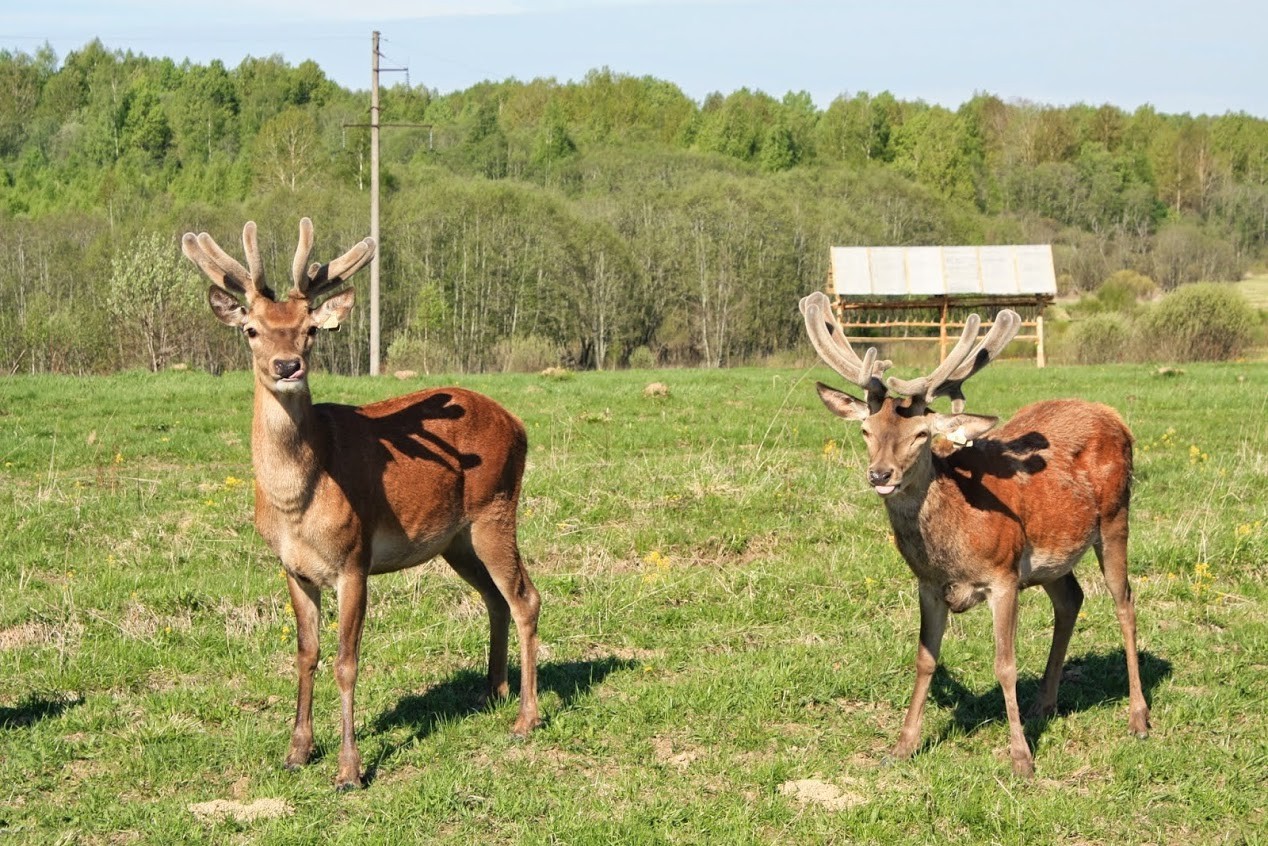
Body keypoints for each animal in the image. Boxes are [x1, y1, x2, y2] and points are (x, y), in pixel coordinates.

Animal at [182, 221, 540, 791]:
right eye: (252, 330)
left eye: (309, 329)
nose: (287, 366)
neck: (297, 503)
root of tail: (520, 424)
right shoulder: (293, 568)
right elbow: (306, 654)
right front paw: (297, 751)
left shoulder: (354, 559)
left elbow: (346, 661)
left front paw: (349, 769)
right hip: (455, 539)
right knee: (495, 599)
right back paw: (493, 692)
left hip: (496, 508)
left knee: (526, 597)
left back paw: (526, 718)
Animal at [801, 291, 1151, 776]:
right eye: (866, 430)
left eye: (922, 434)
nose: (880, 474)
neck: (952, 545)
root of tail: (1114, 415)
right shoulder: (929, 585)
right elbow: (925, 660)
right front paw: (902, 746)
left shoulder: (1003, 575)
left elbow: (1005, 664)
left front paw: (1022, 758)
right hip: (1050, 558)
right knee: (1071, 599)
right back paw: (1044, 704)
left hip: (1117, 516)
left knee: (1124, 601)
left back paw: (1138, 717)